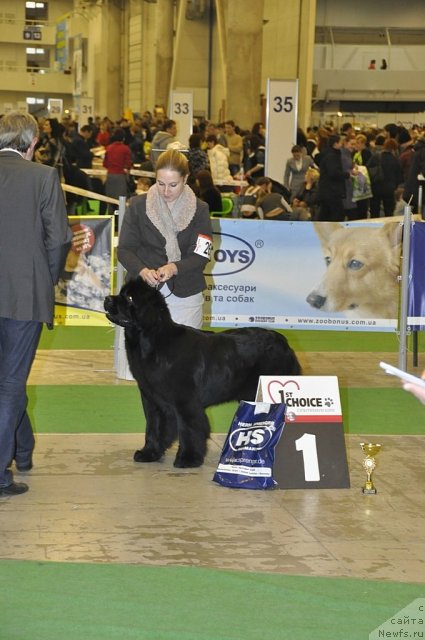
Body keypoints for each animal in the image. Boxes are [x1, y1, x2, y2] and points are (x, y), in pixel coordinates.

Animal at [104, 278, 300, 468]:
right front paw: (149, 453)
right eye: (121, 293)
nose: (107, 299)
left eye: (130, 298)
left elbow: (190, 429)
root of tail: (284, 342)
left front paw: (188, 459)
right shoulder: (153, 400)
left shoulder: (186, 401)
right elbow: (154, 427)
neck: (152, 341)